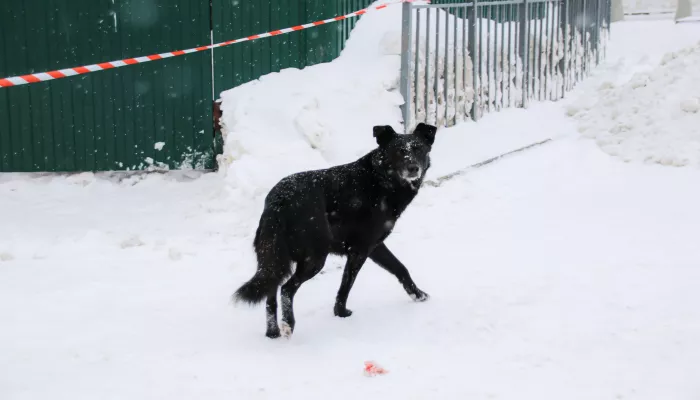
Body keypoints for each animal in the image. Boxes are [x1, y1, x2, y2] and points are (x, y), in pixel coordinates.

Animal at [232, 122, 434, 338]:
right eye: (398, 151)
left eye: (418, 149)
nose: (413, 168)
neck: (381, 178)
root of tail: (279, 201)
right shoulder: (360, 249)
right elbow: (346, 284)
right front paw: (341, 312)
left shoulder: (374, 246)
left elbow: (400, 268)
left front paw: (418, 295)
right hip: (314, 258)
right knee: (286, 289)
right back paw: (288, 324)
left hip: (275, 258)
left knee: (271, 291)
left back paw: (272, 332)